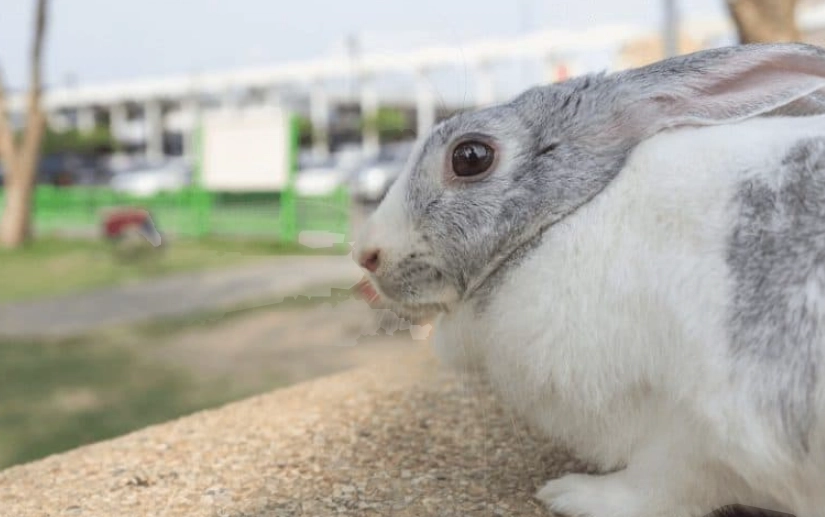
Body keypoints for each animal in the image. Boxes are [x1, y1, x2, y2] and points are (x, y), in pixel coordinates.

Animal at [352, 42, 825, 517]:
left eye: (470, 156)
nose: (366, 255)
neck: (572, 215)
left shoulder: (709, 425)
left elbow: (663, 485)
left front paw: (573, 494)